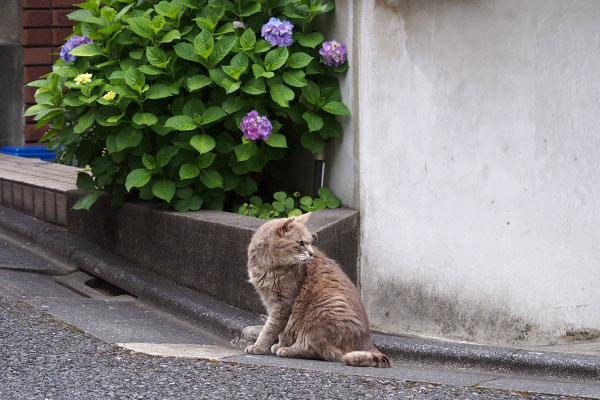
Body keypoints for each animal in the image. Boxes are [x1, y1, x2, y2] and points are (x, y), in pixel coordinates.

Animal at [245, 212, 392, 368]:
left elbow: (270, 328)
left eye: (309, 242)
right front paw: (279, 344)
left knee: (325, 352)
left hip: (323, 310)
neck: (268, 266)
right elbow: (282, 330)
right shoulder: (272, 303)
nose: (311, 253)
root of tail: (367, 342)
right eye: (301, 243)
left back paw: (290, 350)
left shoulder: (283, 303)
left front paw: (259, 346)